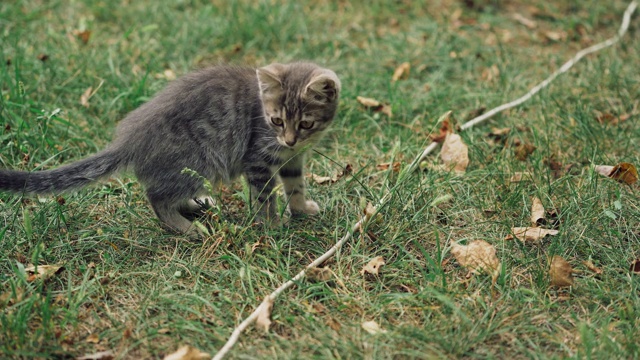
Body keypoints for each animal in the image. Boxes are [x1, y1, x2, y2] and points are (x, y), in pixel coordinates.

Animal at [0, 62, 340, 233]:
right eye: (276, 121)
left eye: (305, 124)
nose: (289, 139)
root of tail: (131, 138)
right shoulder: (257, 160)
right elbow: (264, 196)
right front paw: (271, 225)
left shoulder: (293, 160)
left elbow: (295, 185)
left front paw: (301, 209)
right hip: (200, 160)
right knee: (156, 196)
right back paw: (186, 228)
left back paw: (195, 205)